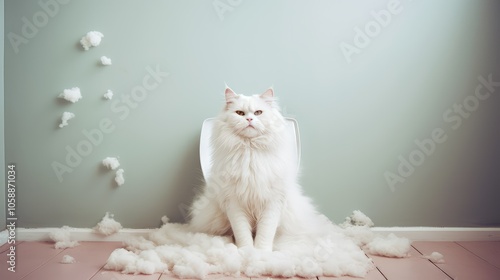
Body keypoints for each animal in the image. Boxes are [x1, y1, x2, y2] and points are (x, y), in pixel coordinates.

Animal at [188, 86, 324, 250]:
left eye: (258, 112)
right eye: (240, 113)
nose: (249, 119)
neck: (250, 151)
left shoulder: (272, 201)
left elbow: (265, 233)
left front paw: (261, 252)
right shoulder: (234, 202)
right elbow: (242, 233)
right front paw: (246, 251)